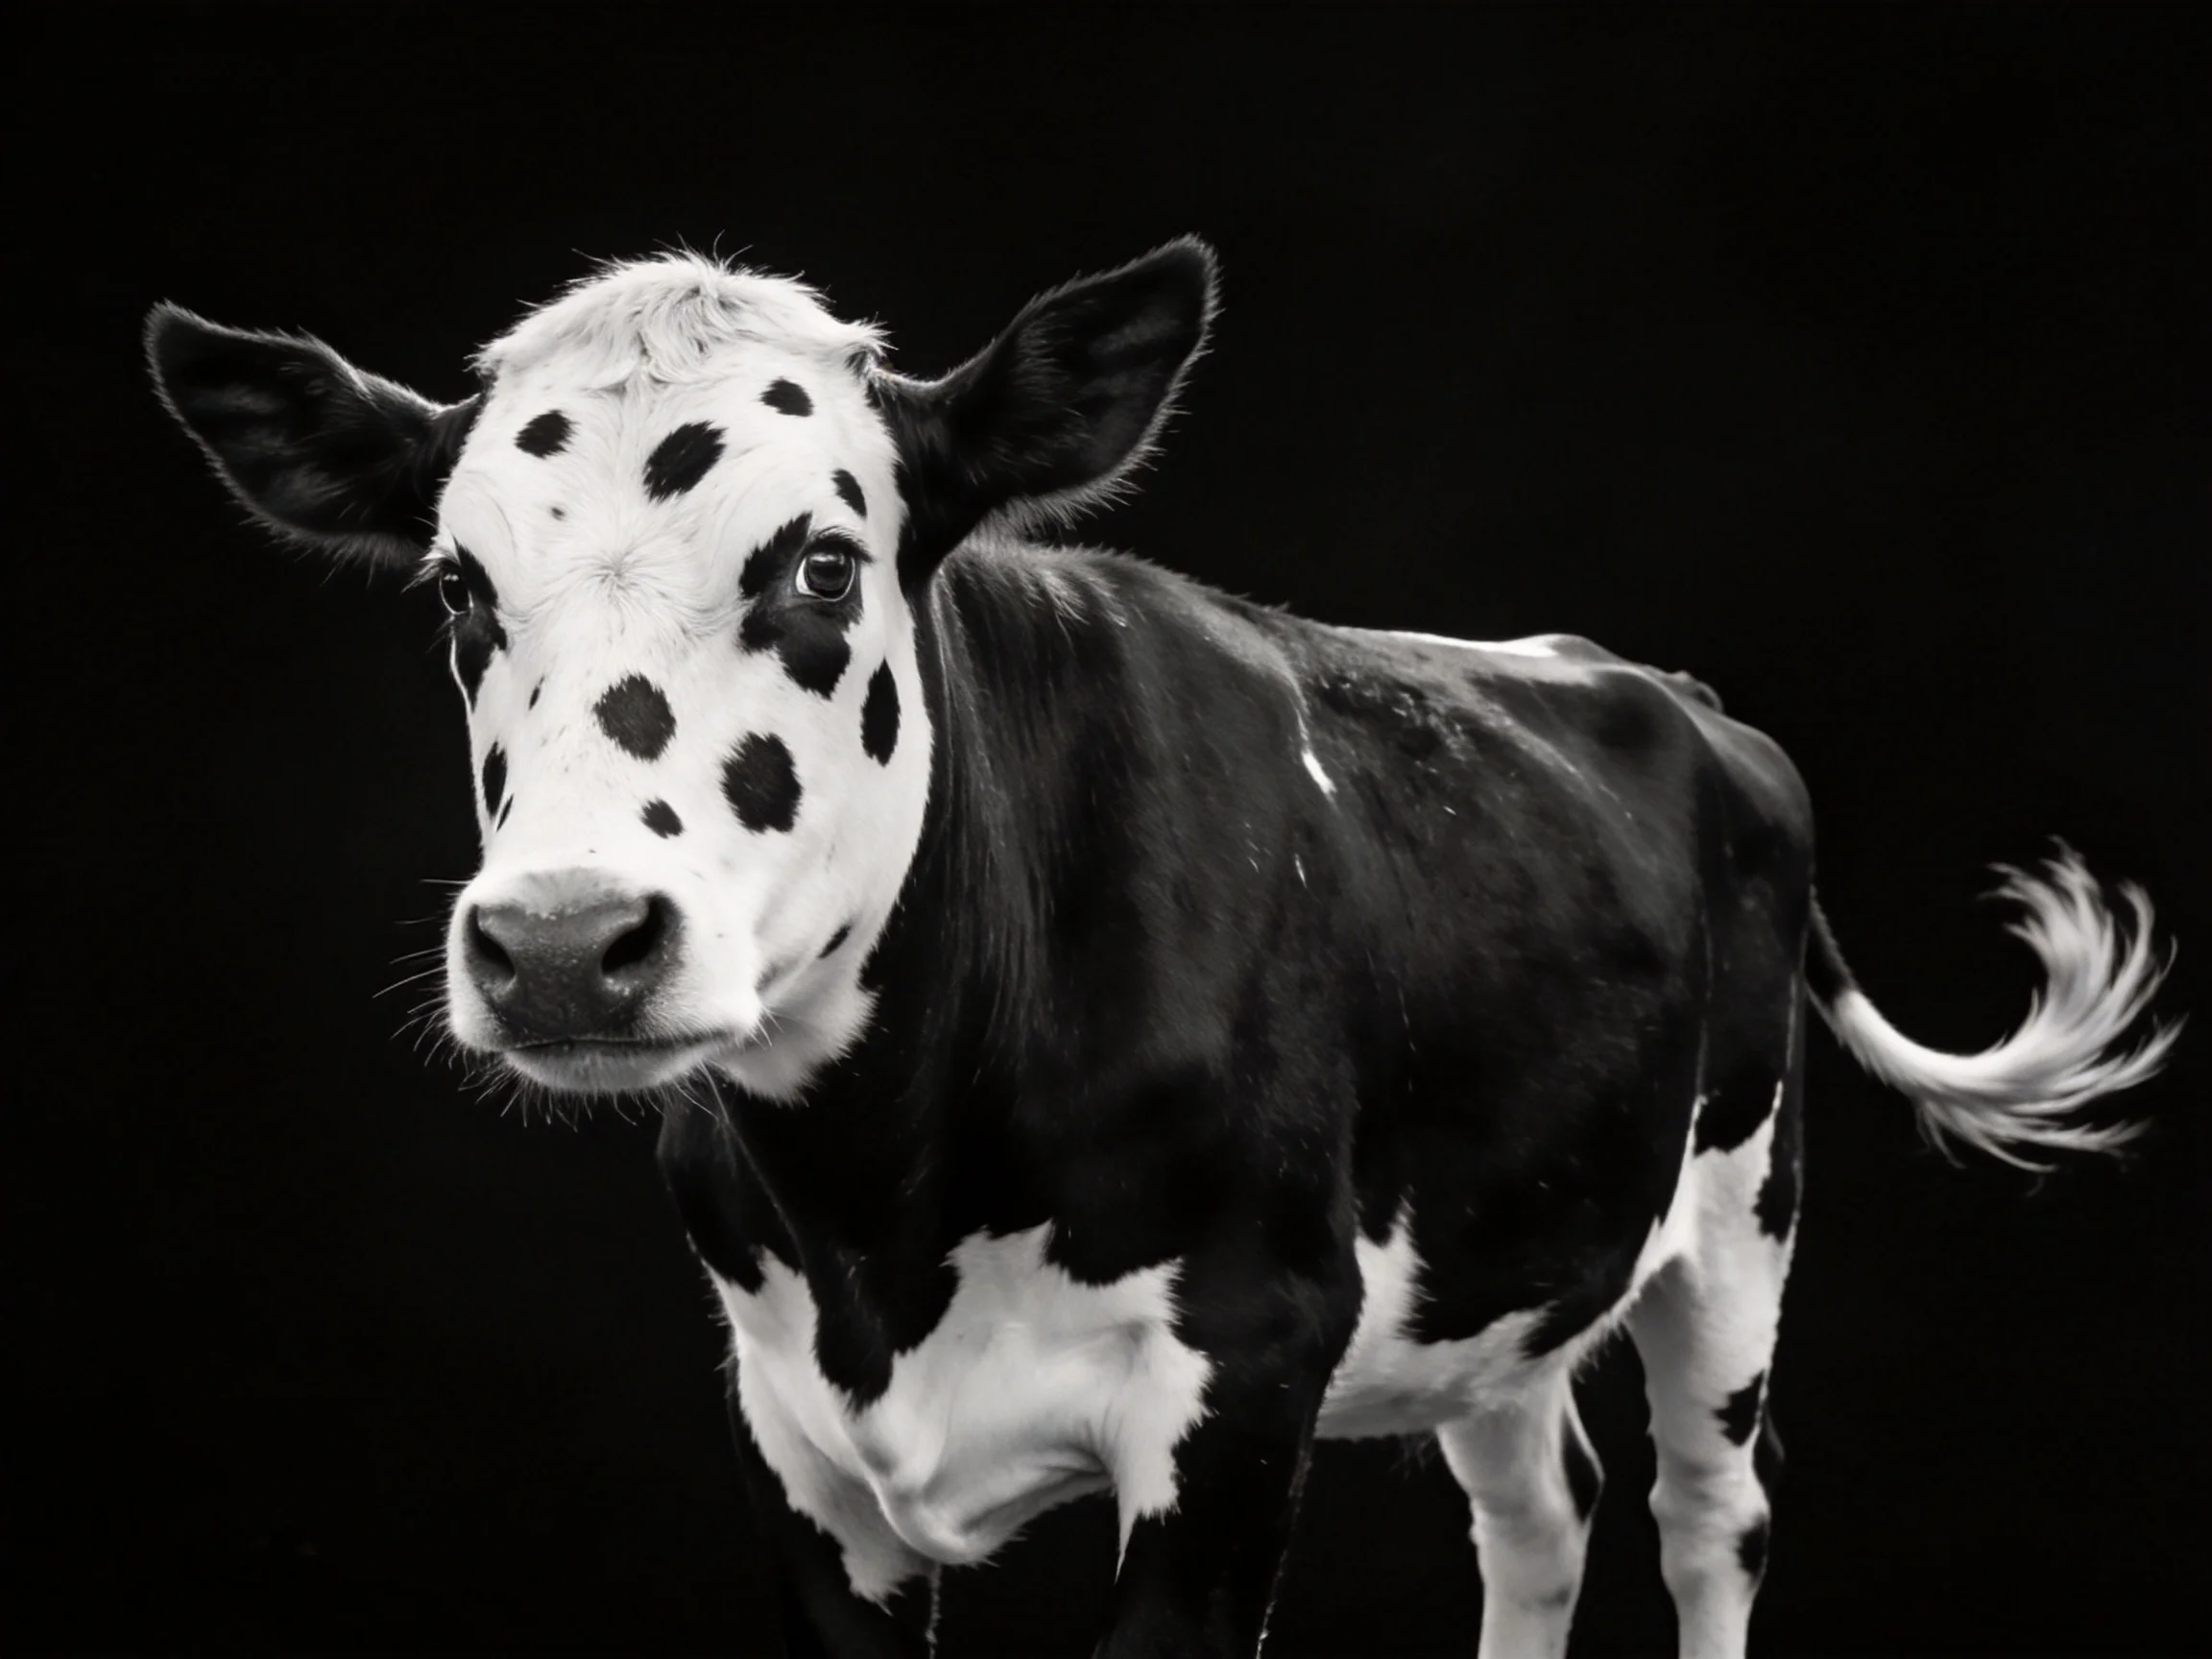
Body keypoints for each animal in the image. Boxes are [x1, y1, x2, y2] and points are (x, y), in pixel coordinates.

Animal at [145, 240, 2174, 1659]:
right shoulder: (792, 1448)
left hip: (1740, 1211)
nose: (566, 944)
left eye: (820, 564)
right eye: (459, 590)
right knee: (1540, 1507)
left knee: (1704, 1514)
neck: (884, 1212)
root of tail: (1661, 689)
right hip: (1495, 1273)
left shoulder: (1239, 1393)